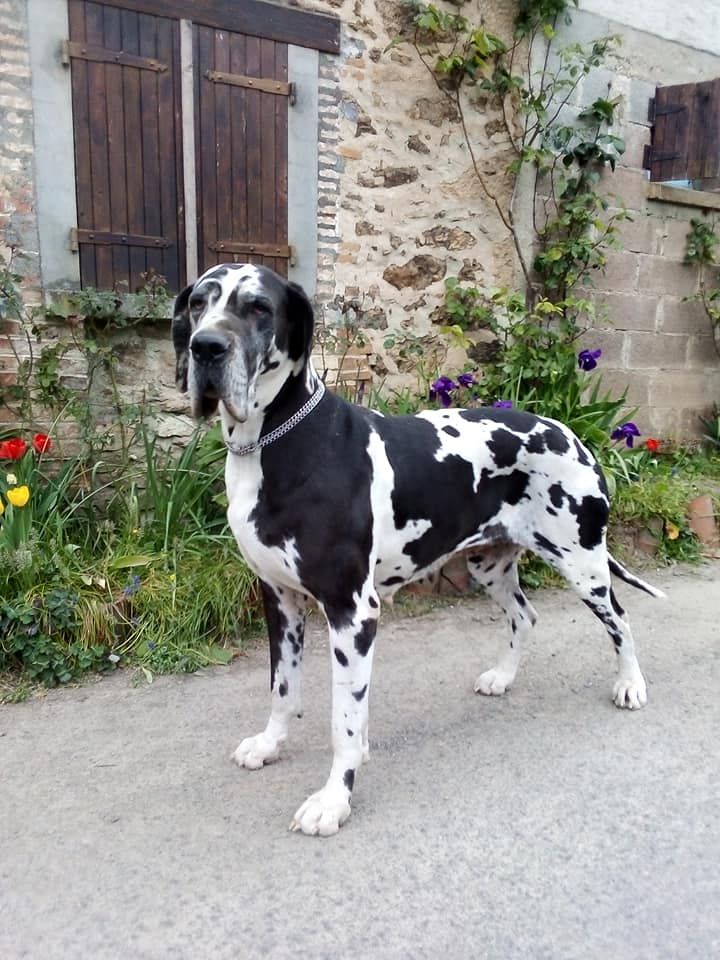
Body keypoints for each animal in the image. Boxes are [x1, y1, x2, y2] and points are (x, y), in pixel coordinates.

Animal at [172, 262, 664, 836]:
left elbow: (344, 721)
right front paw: (271, 744)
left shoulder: (353, 613)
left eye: (258, 307)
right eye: (199, 302)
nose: (206, 348)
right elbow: (283, 688)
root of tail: (573, 434)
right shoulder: (281, 600)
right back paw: (503, 677)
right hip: (489, 563)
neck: (275, 441)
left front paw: (333, 799)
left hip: (583, 563)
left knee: (621, 620)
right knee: (525, 615)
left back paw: (630, 685)